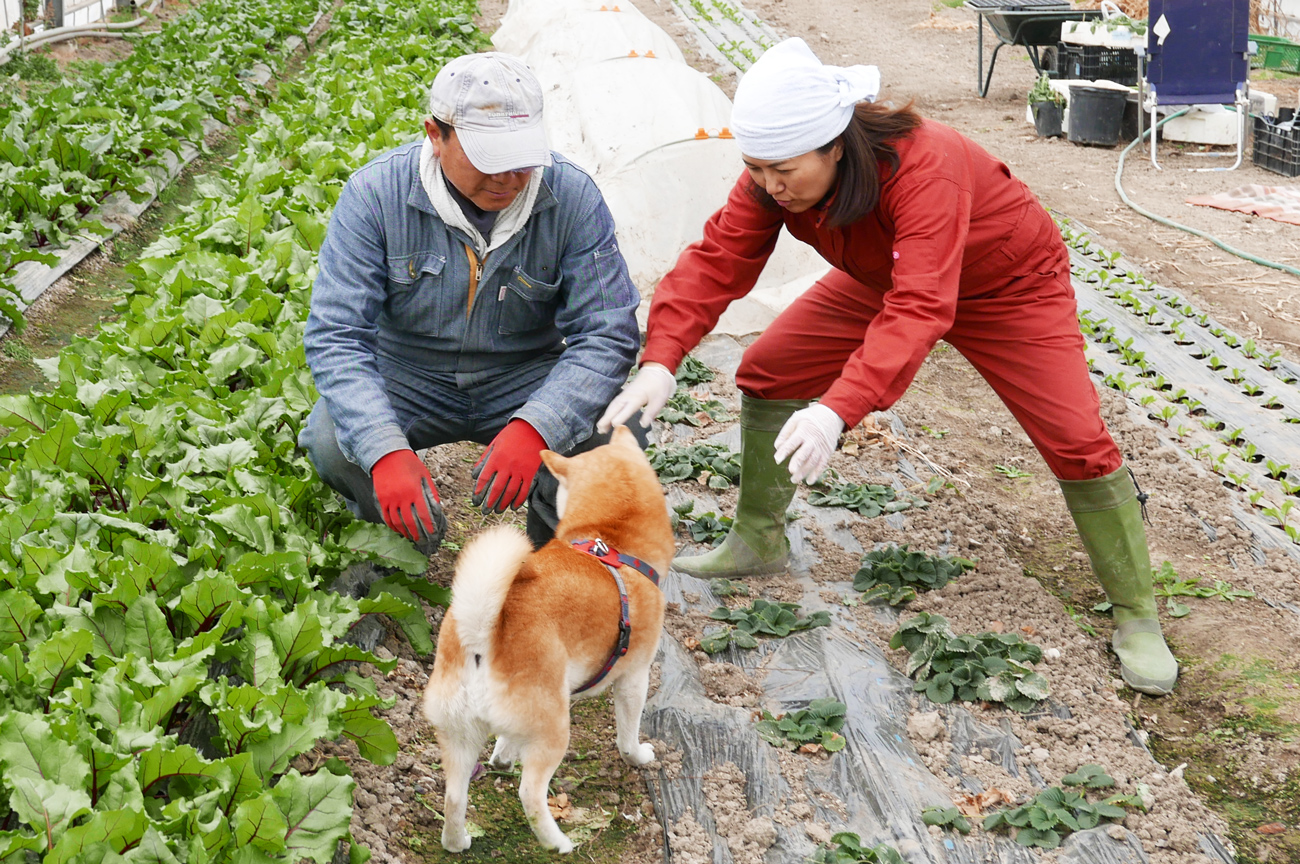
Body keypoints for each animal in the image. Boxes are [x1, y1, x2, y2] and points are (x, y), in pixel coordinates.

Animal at [423, 423, 670, 847]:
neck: (612, 539)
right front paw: (638, 757)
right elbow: (627, 735)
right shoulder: (634, 679)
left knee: (454, 797)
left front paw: (503, 756)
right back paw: (558, 842)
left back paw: (458, 841)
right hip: (555, 730)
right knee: (530, 794)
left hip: (460, 736)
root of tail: (482, 636)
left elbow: (505, 743)